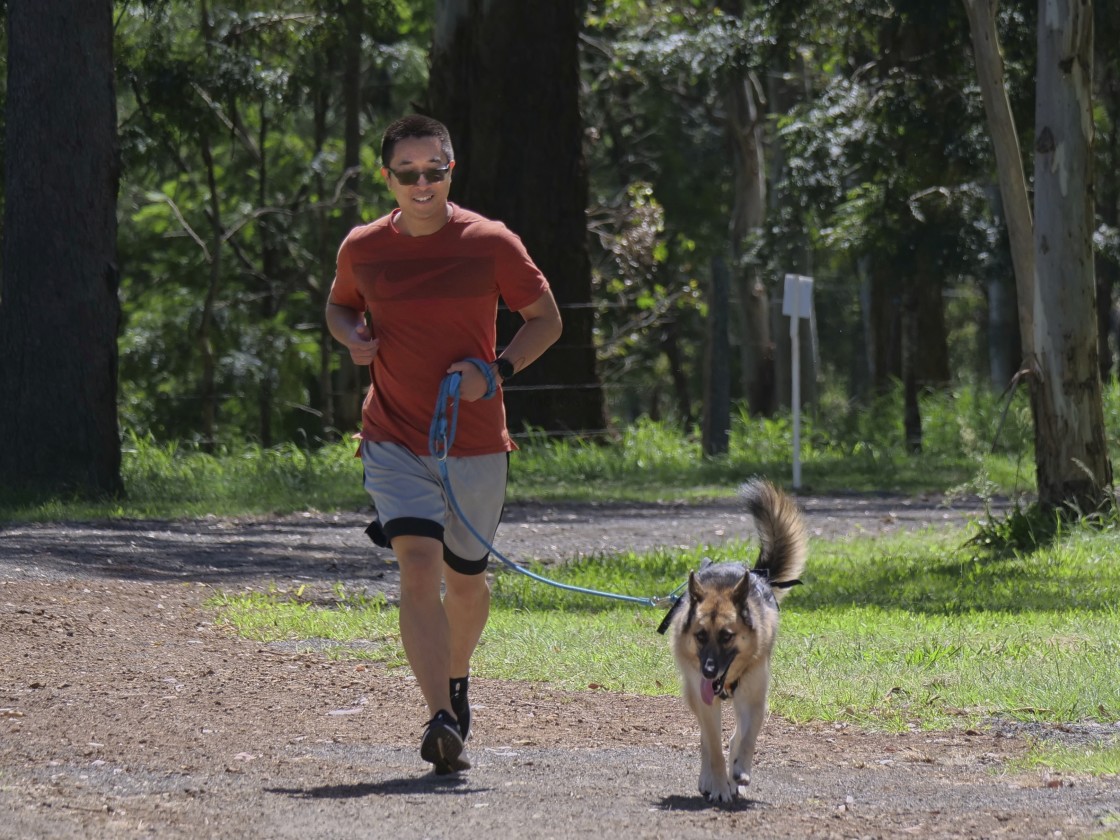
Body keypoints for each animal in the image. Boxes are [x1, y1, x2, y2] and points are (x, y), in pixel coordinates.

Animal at [654, 479, 806, 801]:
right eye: (700, 636)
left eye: (726, 636)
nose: (709, 671)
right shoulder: (705, 701)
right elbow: (713, 747)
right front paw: (719, 785)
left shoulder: (755, 698)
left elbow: (746, 737)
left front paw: (740, 771)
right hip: (693, 693)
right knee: (704, 738)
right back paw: (709, 779)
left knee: (736, 734)